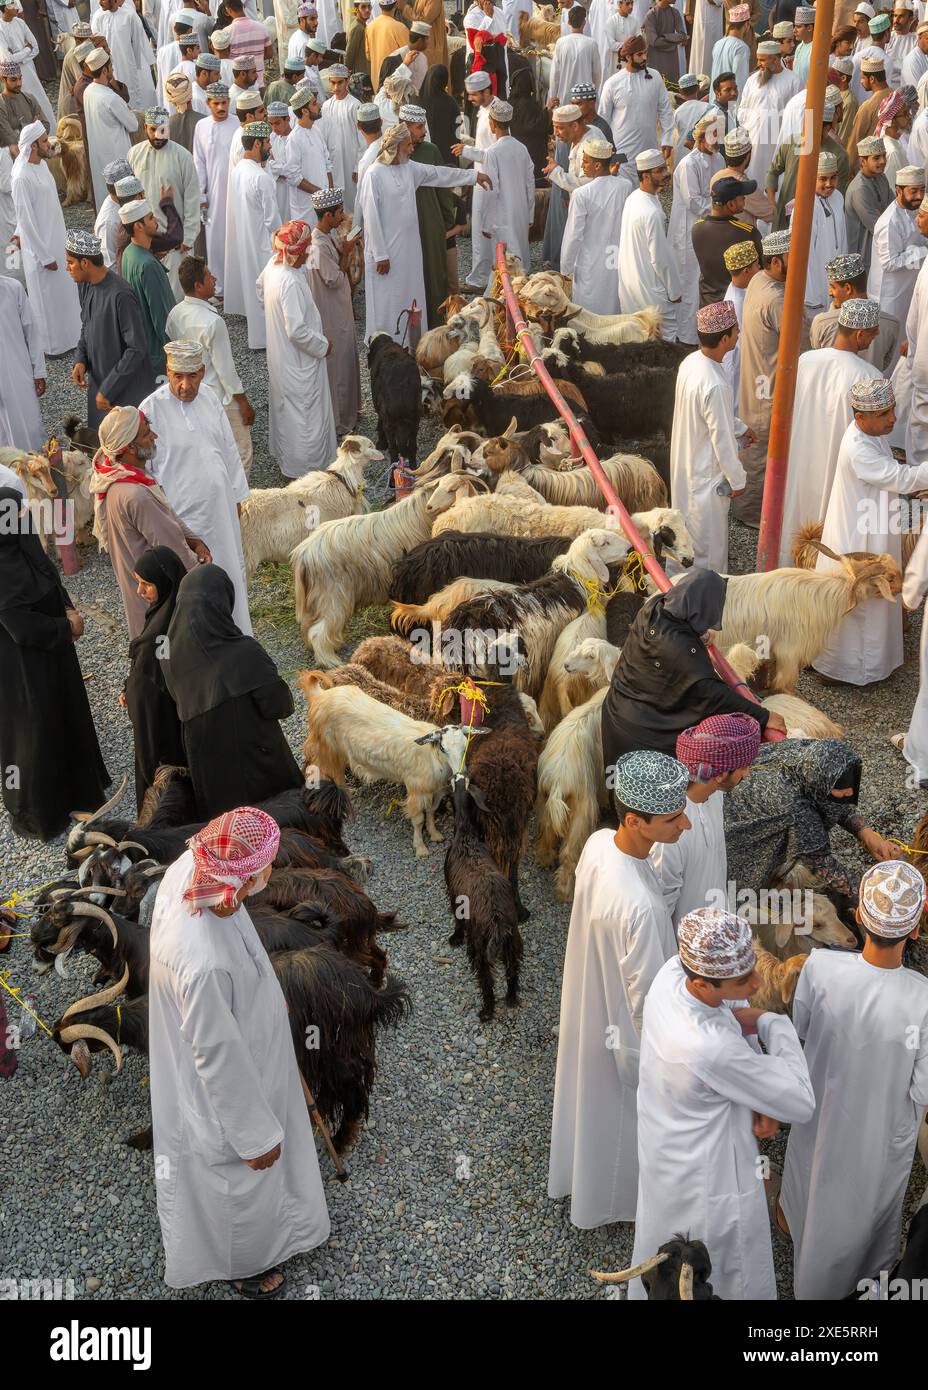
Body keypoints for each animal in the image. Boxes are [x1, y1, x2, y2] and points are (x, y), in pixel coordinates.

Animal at [297, 667, 475, 850]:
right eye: (443, 748)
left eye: (465, 746)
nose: (462, 774)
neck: (432, 756)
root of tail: (319, 695)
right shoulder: (416, 789)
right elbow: (418, 820)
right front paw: (420, 847)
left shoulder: (432, 789)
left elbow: (431, 812)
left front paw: (435, 834)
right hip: (329, 749)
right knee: (331, 773)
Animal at [366, 330, 419, 467]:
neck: (385, 343)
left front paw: (381, 443)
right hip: (415, 421)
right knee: (412, 447)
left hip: (390, 423)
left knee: (394, 449)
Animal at [441, 772, 522, 1023]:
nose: (455, 773)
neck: (467, 835)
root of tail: (497, 921)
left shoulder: (454, 895)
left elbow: (457, 921)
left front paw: (455, 938)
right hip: (513, 943)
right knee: (513, 971)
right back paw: (511, 998)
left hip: (480, 947)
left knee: (487, 980)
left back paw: (486, 1010)